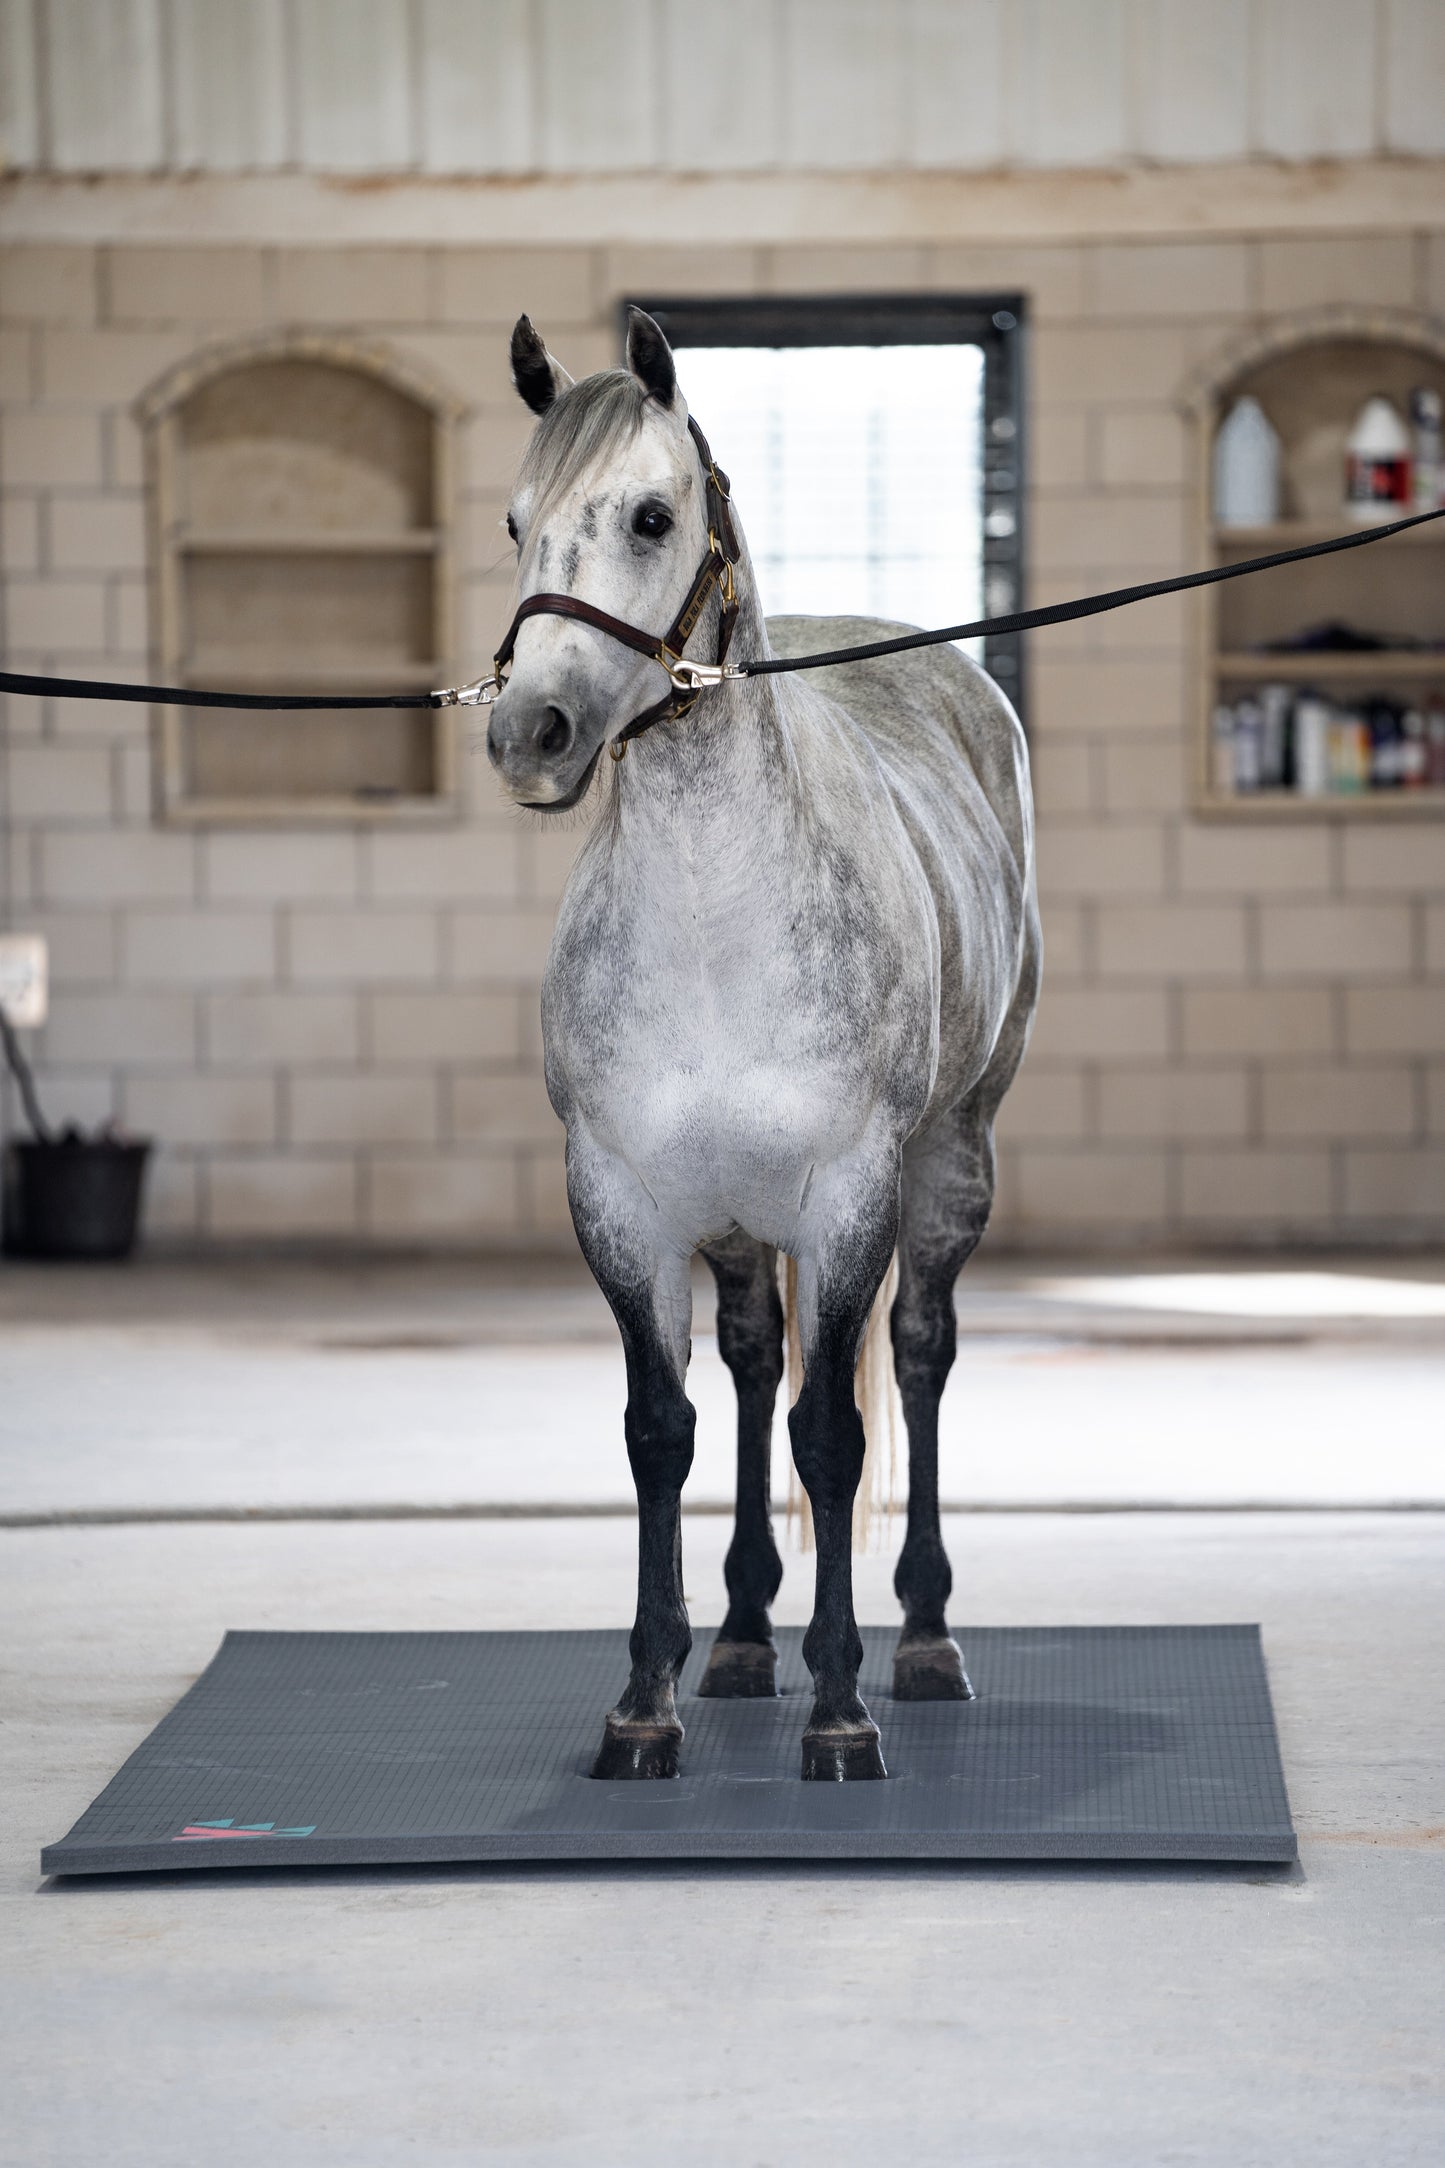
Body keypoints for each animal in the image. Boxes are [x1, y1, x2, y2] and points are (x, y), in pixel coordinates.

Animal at [485, 314, 1039, 1786]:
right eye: (514, 523)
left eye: (651, 514)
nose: (525, 734)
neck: (712, 914)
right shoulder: (621, 1202)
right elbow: (660, 1430)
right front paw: (643, 1702)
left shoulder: (848, 1198)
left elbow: (833, 1435)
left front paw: (842, 1712)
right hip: (732, 1219)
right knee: (743, 1363)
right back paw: (736, 1638)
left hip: (949, 1164)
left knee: (917, 1350)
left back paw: (922, 1639)